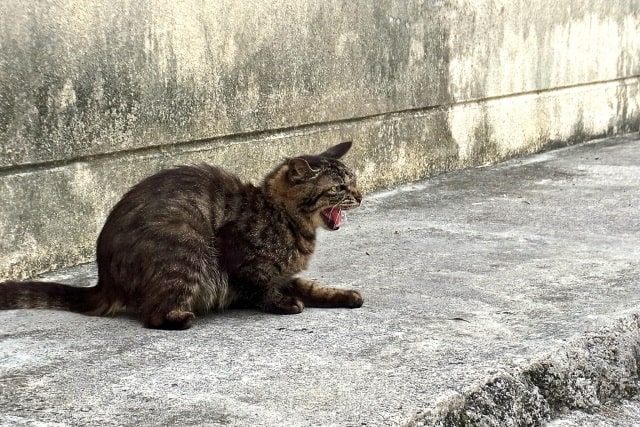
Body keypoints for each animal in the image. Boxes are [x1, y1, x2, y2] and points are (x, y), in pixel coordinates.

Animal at [0, 142, 362, 330]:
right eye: (339, 188)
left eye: (354, 182)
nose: (359, 196)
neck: (288, 221)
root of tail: (105, 280)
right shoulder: (240, 260)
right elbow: (262, 288)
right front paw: (286, 304)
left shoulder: (286, 274)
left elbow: (311, 287)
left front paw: (345, 295)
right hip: (188, 245)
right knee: (152, 315)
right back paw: (182, 318)